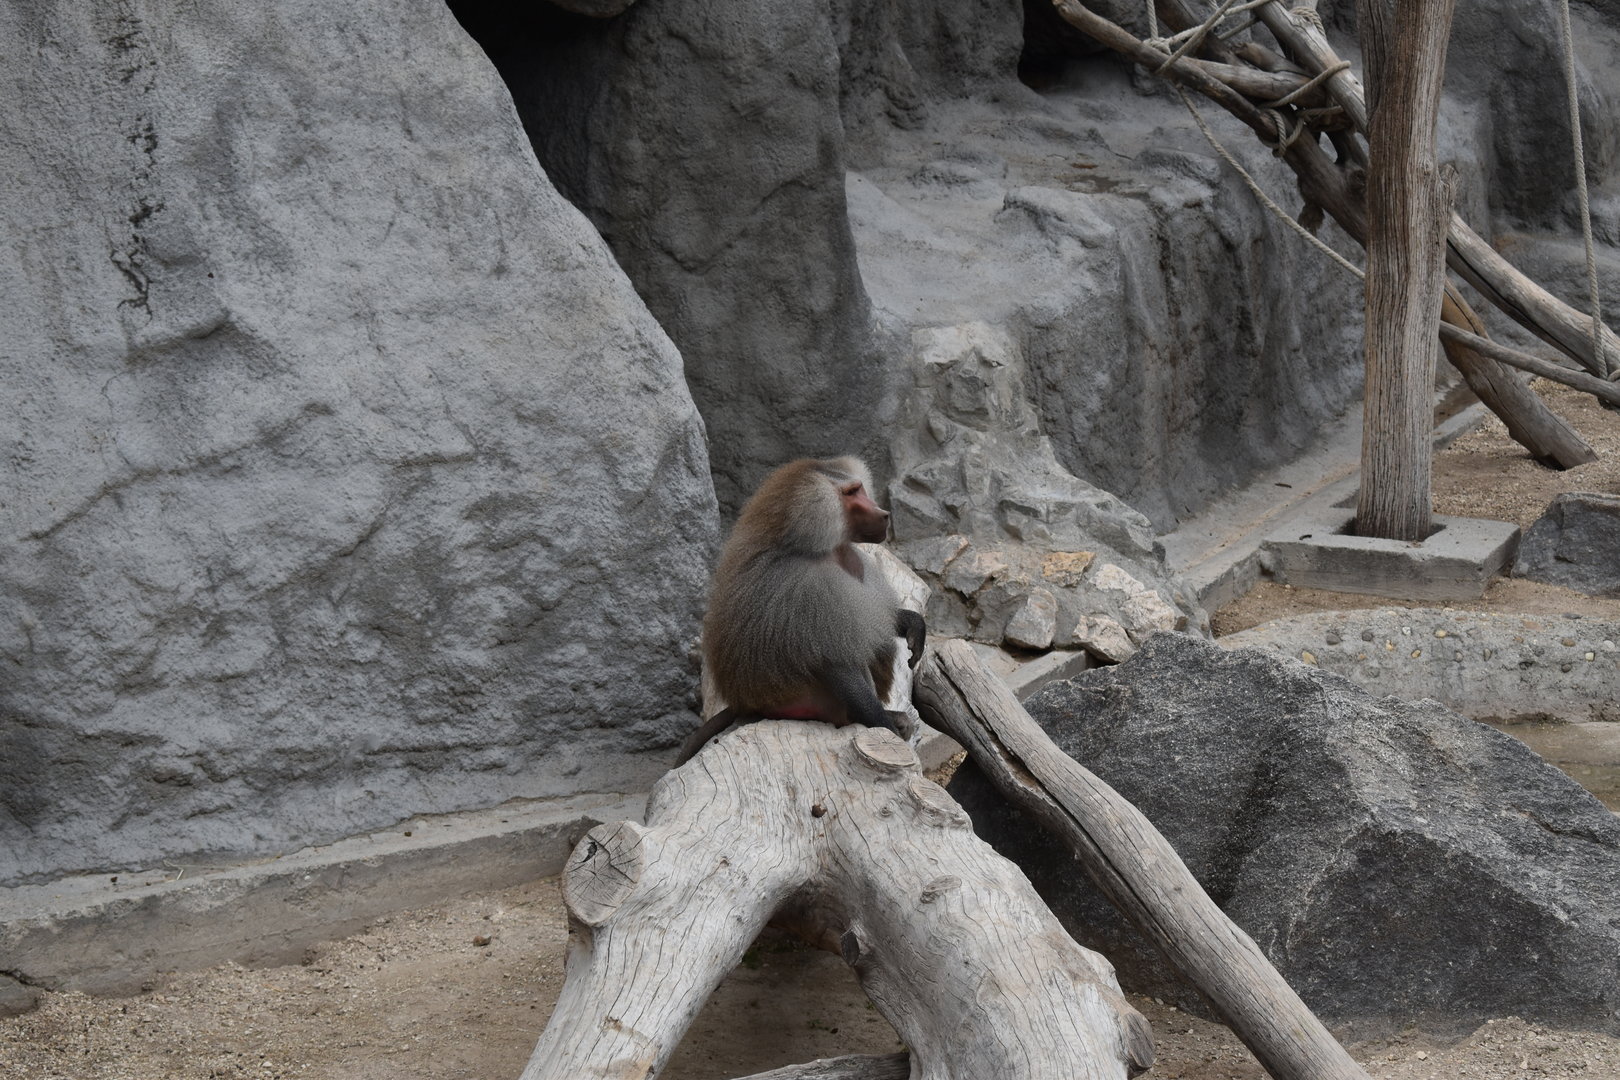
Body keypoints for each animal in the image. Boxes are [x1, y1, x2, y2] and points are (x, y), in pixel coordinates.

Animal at [673, 456, 927, 766]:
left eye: (860, 488)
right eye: (851, 493)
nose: (885, 515)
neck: (830, 548)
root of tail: (746, 704)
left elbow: (880, 618)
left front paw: (913, 624)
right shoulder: (813, 589)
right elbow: (834, 661)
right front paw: (884, 724)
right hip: (807, 701)